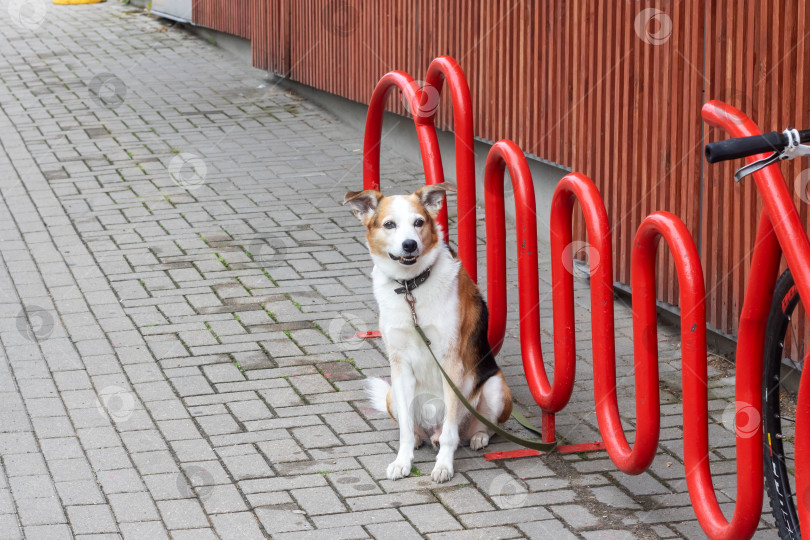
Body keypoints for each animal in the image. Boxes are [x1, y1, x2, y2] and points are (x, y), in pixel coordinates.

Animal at [342, 184, 512, 484]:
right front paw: (403, 461)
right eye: (389, 225)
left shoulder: (451, 364)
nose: (410, 244)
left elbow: (450, 435)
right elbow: (405, 431)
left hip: (494, 387)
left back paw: (478, 437)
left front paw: (444, 466)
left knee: (480, 428)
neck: (412, 287)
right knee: (416, 427)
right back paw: (422, 438)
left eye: (419, 222)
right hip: (392, 395)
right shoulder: (399, 366)